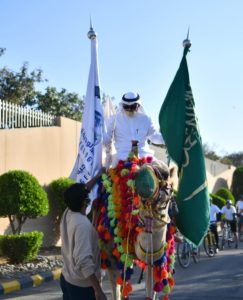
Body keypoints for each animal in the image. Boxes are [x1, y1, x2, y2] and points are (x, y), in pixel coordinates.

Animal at [94, 156, 176, 298]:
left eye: (171, 189)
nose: (162, 169)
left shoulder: (155, 261)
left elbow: (151, 291)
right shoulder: (112, 259)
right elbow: (116, 291)